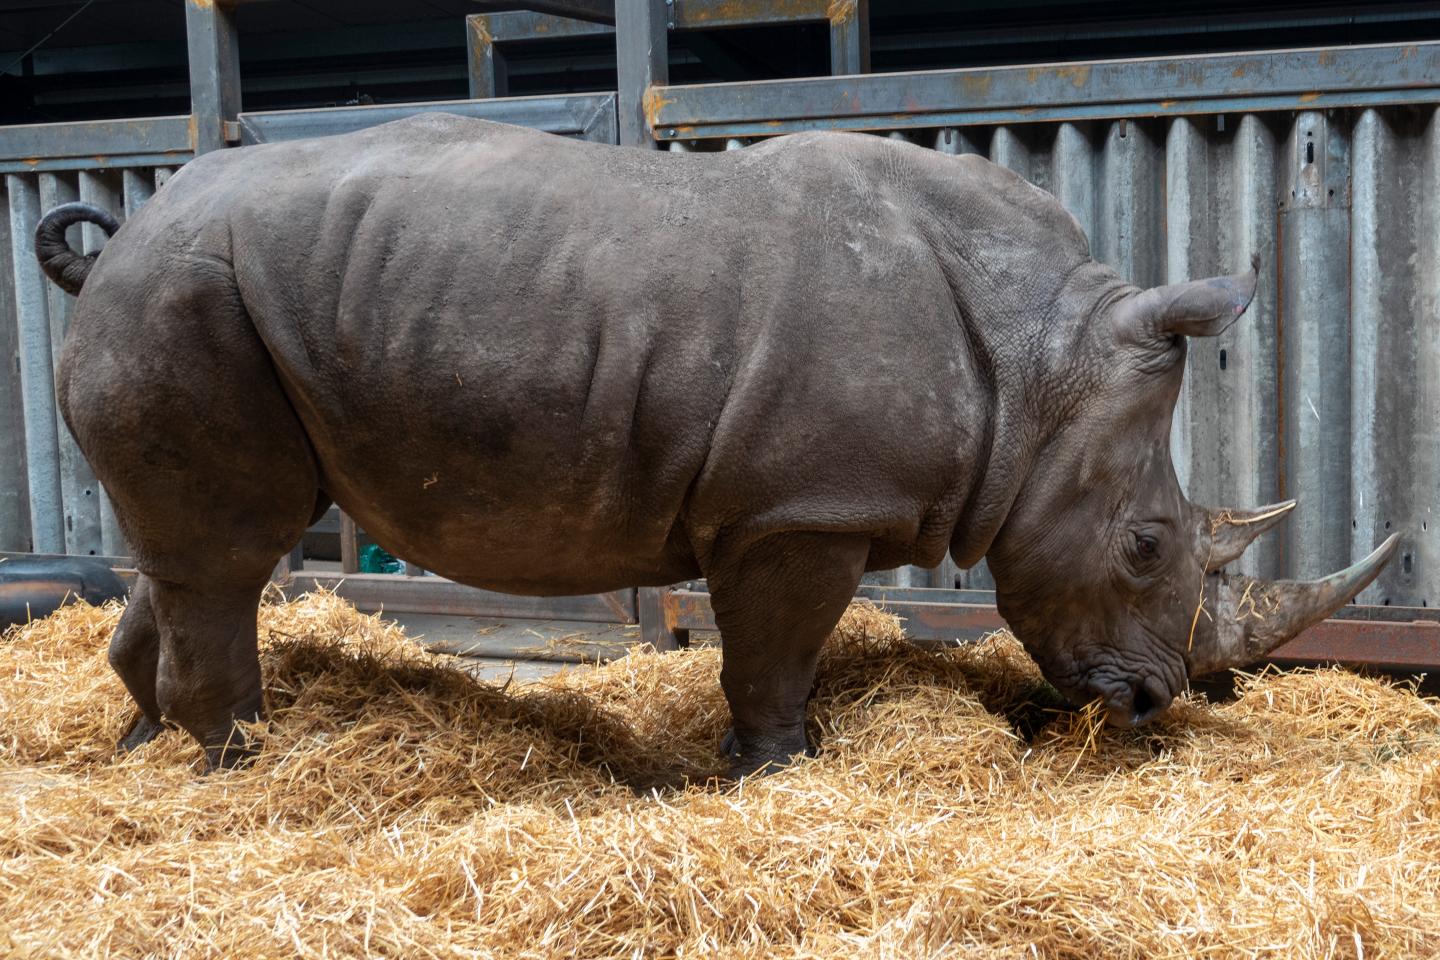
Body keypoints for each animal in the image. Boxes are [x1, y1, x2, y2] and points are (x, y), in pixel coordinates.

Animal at [34, 114, 1395, 776]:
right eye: (1148, 545)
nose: (1165, 700)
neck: (1040, 366)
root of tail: (123, 236)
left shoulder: (796, 505)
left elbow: (774, 656)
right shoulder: (802, 507)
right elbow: (773, 661)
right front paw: (776, 774)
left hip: (204, 300)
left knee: (190, 554)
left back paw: (142, 752)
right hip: (186, 299)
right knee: (230, 549)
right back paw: (244, 775)